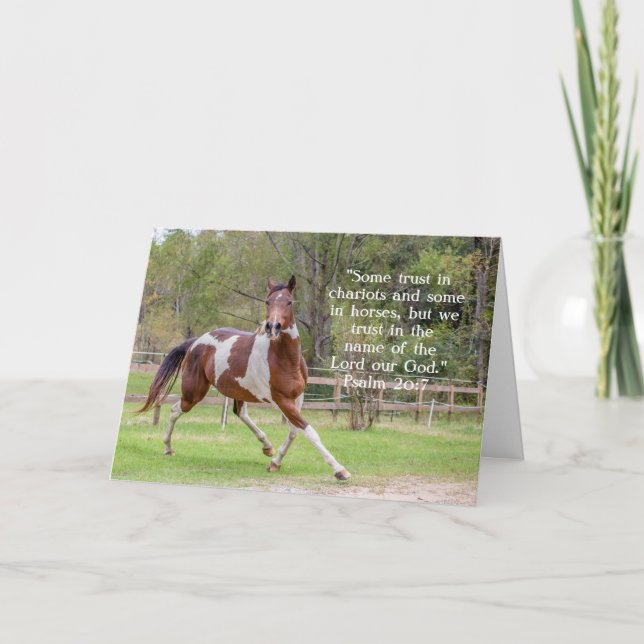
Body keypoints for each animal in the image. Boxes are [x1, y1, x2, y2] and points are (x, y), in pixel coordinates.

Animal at [137, 275, 352, 481]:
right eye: (267, 301)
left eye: (289, 302)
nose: (272, 327)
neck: (284, 360)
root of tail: (196, 342)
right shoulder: (281, 400)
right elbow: (309, 431)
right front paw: (340, 470)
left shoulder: (297, 398)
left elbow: (293, 432)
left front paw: (274, 463)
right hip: (194, 393)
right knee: (176, 410)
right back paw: (168, 448)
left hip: (238, 390)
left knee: (240, 413)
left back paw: (267, 446)